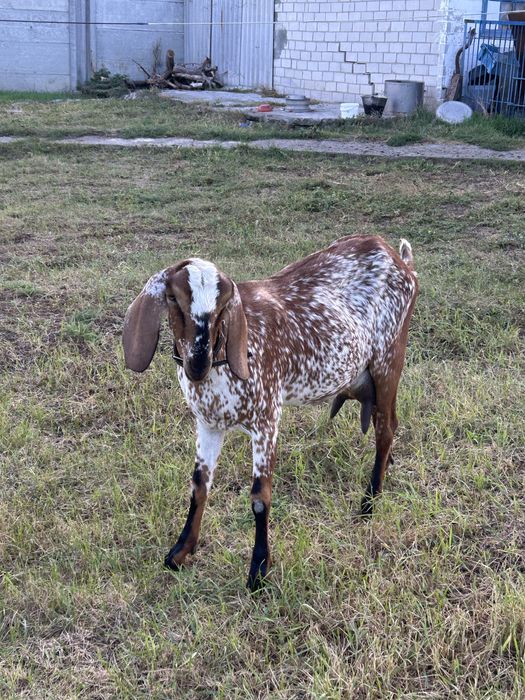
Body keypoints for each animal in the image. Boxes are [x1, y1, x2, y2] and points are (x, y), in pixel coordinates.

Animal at [122, 235, 418, 591]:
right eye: (172, 297)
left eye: (223, 306)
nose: (197, 363)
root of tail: (400, 260)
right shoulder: (208, 423)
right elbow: (199, 485)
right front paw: (181, 551)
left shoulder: (266, 420)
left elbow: (260, 497)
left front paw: (259, 568)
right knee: (388, 422)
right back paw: (385, 468)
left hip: (389, 360)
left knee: (385, 428)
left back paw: (369, 503)